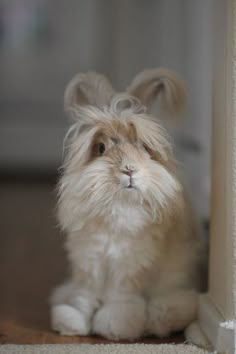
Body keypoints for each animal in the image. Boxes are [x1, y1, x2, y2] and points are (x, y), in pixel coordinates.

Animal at [50, 68, 206, 340]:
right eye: (101, 148)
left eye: (143, 147)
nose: (129, 170)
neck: (119, 203)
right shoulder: (89, 260)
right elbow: (84, 295)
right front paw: (72, 322)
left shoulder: (130, 265)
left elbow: (120, 296)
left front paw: (115, 327)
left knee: (176, 305)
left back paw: (158, 318)